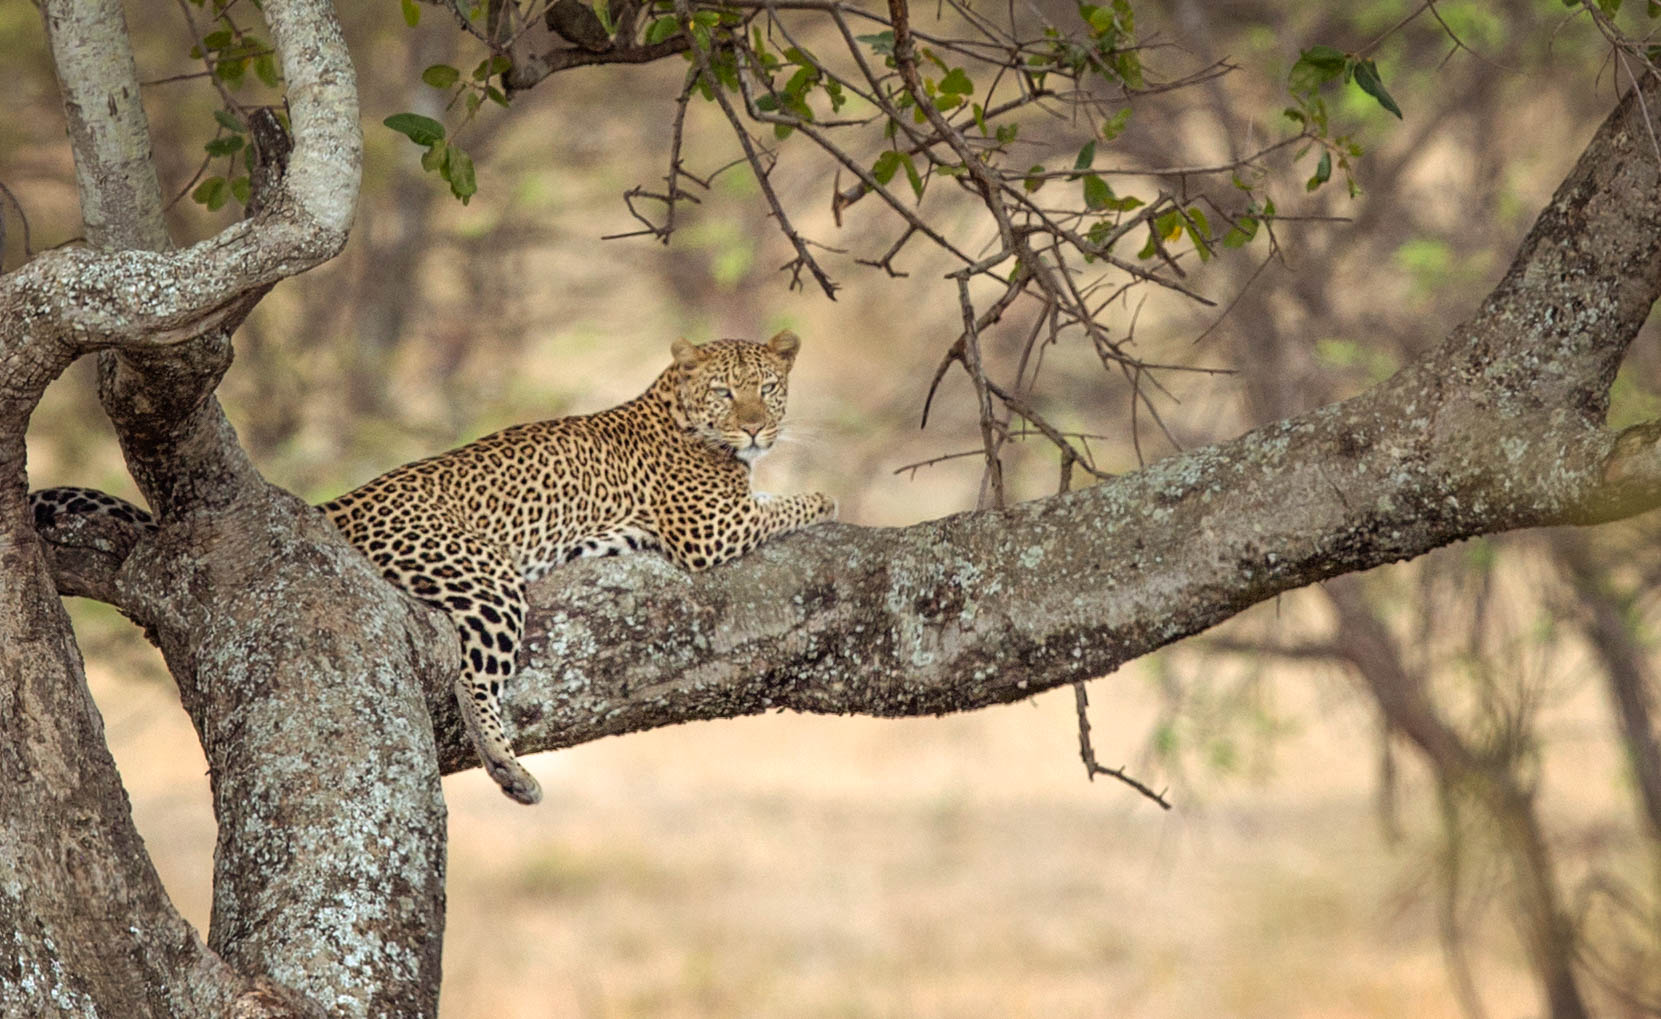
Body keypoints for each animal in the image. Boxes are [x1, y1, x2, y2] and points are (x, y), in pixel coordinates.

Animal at [35, 332, 843, 801]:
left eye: (769, 389)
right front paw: (825, 494)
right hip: (486, 578)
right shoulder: (712, 530)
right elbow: (793, 503)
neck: (675, 408)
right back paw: (510, 770)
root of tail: (332, 507)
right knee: (471, 676)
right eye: (725, 392)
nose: (756, 427)